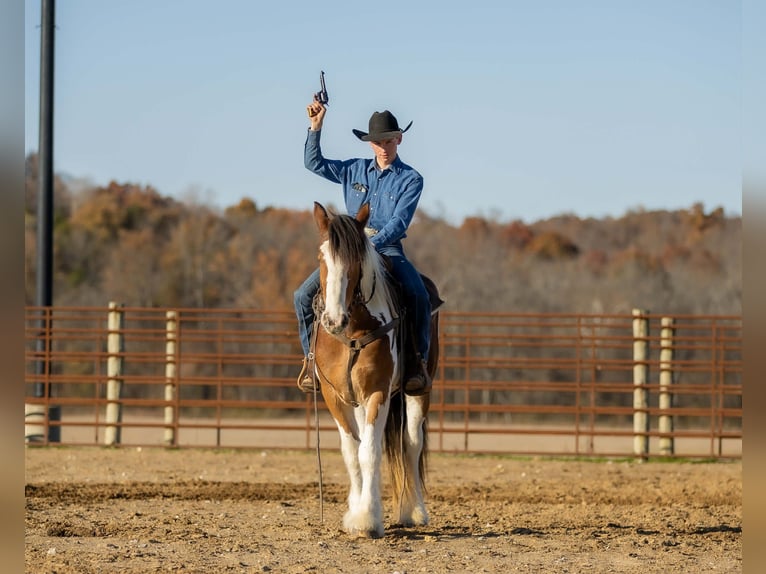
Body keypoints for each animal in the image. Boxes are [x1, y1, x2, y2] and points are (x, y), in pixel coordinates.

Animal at [309, 201, 440, 538]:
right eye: (321, 257)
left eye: (356, 260)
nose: (333, 320)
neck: (353, 330)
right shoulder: (335, 396)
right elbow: (351, 452)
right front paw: (357, 512)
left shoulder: (377, 392)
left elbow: (369, 453)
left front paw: (367, 518)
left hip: (419, 392)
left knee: (411, 444)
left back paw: (413, 512)